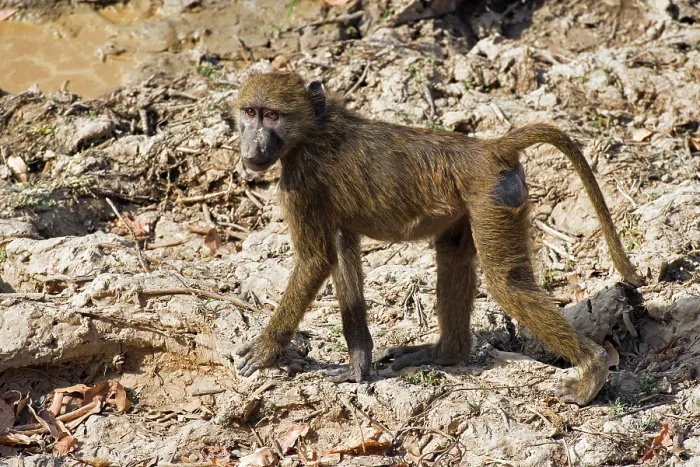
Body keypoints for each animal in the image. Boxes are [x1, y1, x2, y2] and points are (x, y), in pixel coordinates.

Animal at [233, 71, 644, 406]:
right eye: (249, 113)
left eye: (272, 115)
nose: (250, 148)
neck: (313, 130)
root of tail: (488, 148)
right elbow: (342, 258)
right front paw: (358, 366)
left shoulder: (300, 182)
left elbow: (314, 261)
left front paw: (265, 350)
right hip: (478, 203)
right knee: (453, 257)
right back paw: (446, 354)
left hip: (492, 198)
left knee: (506, 284)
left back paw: (592, 370)